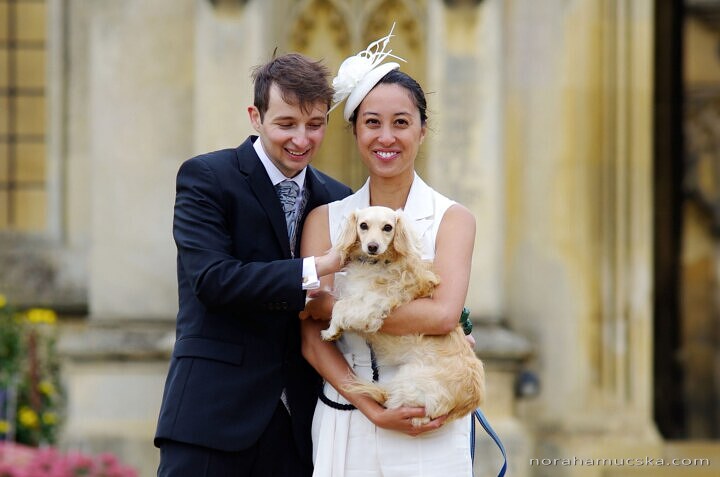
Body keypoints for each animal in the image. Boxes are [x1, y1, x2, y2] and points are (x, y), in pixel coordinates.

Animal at [324, 205, 484, 424]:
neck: (377, 263)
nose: (372, 247)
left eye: (388, 227)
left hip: (411, 383)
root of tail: (469, 402)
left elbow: (339, 307)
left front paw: (330, 331)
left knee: (393, 401)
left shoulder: (372, 305)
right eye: (363, 225)